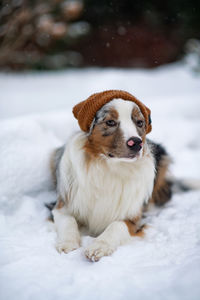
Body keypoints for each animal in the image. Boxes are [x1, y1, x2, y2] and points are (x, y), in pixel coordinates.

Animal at [50, 90, 173, 262]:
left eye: (139, 122)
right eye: (110, 122)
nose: (136, 143)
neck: (110, 167)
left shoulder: (133, 215)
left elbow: (117, 225)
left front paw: (99, 246)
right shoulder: (62, 204)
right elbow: (68, 219)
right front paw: (68, 243)